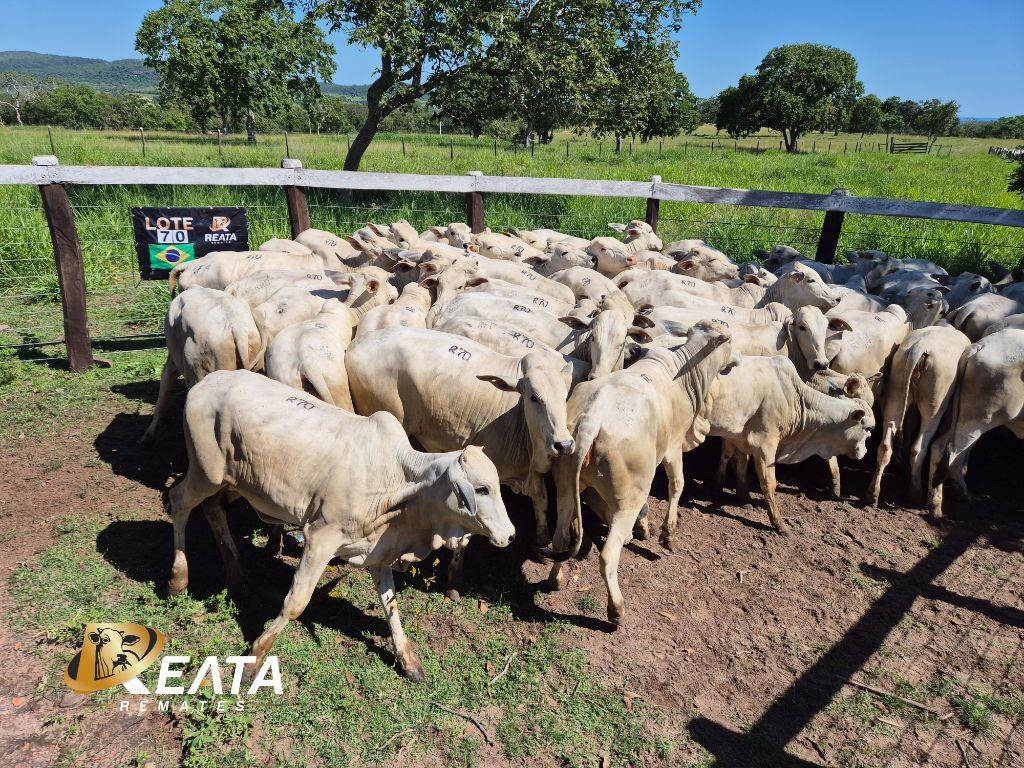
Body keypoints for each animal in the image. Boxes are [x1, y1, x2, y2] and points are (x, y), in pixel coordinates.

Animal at [165, 370, 514, 682]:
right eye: (481, 489)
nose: (510, 535)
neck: (399, 482)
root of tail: (208, 382)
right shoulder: (320, 536)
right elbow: (296, 603)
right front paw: (255, 658)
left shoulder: (378, 550)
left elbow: (390, 603)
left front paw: (408, 659)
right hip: (206, 472)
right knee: (178, 502)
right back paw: (177, 579)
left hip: (233, 480)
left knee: (212, 508)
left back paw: (234, 568)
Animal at [543, 322, 735, 625]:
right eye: (728, 340)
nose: (736, 361)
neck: (684, 372)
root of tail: (590, 421)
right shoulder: (673, 446)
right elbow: (677, 484)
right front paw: (667, 534)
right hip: (629, 494)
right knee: (608, 555)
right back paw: (616, 609)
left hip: (565, 484)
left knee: (561, 537)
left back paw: (555, 580)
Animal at [866, 325, 971, 505]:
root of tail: (920, 348)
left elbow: (909, 423)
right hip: (936, 399)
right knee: (919, 449)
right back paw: (915, 493)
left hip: (897, 388)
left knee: (886, 444)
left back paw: (873, 493)